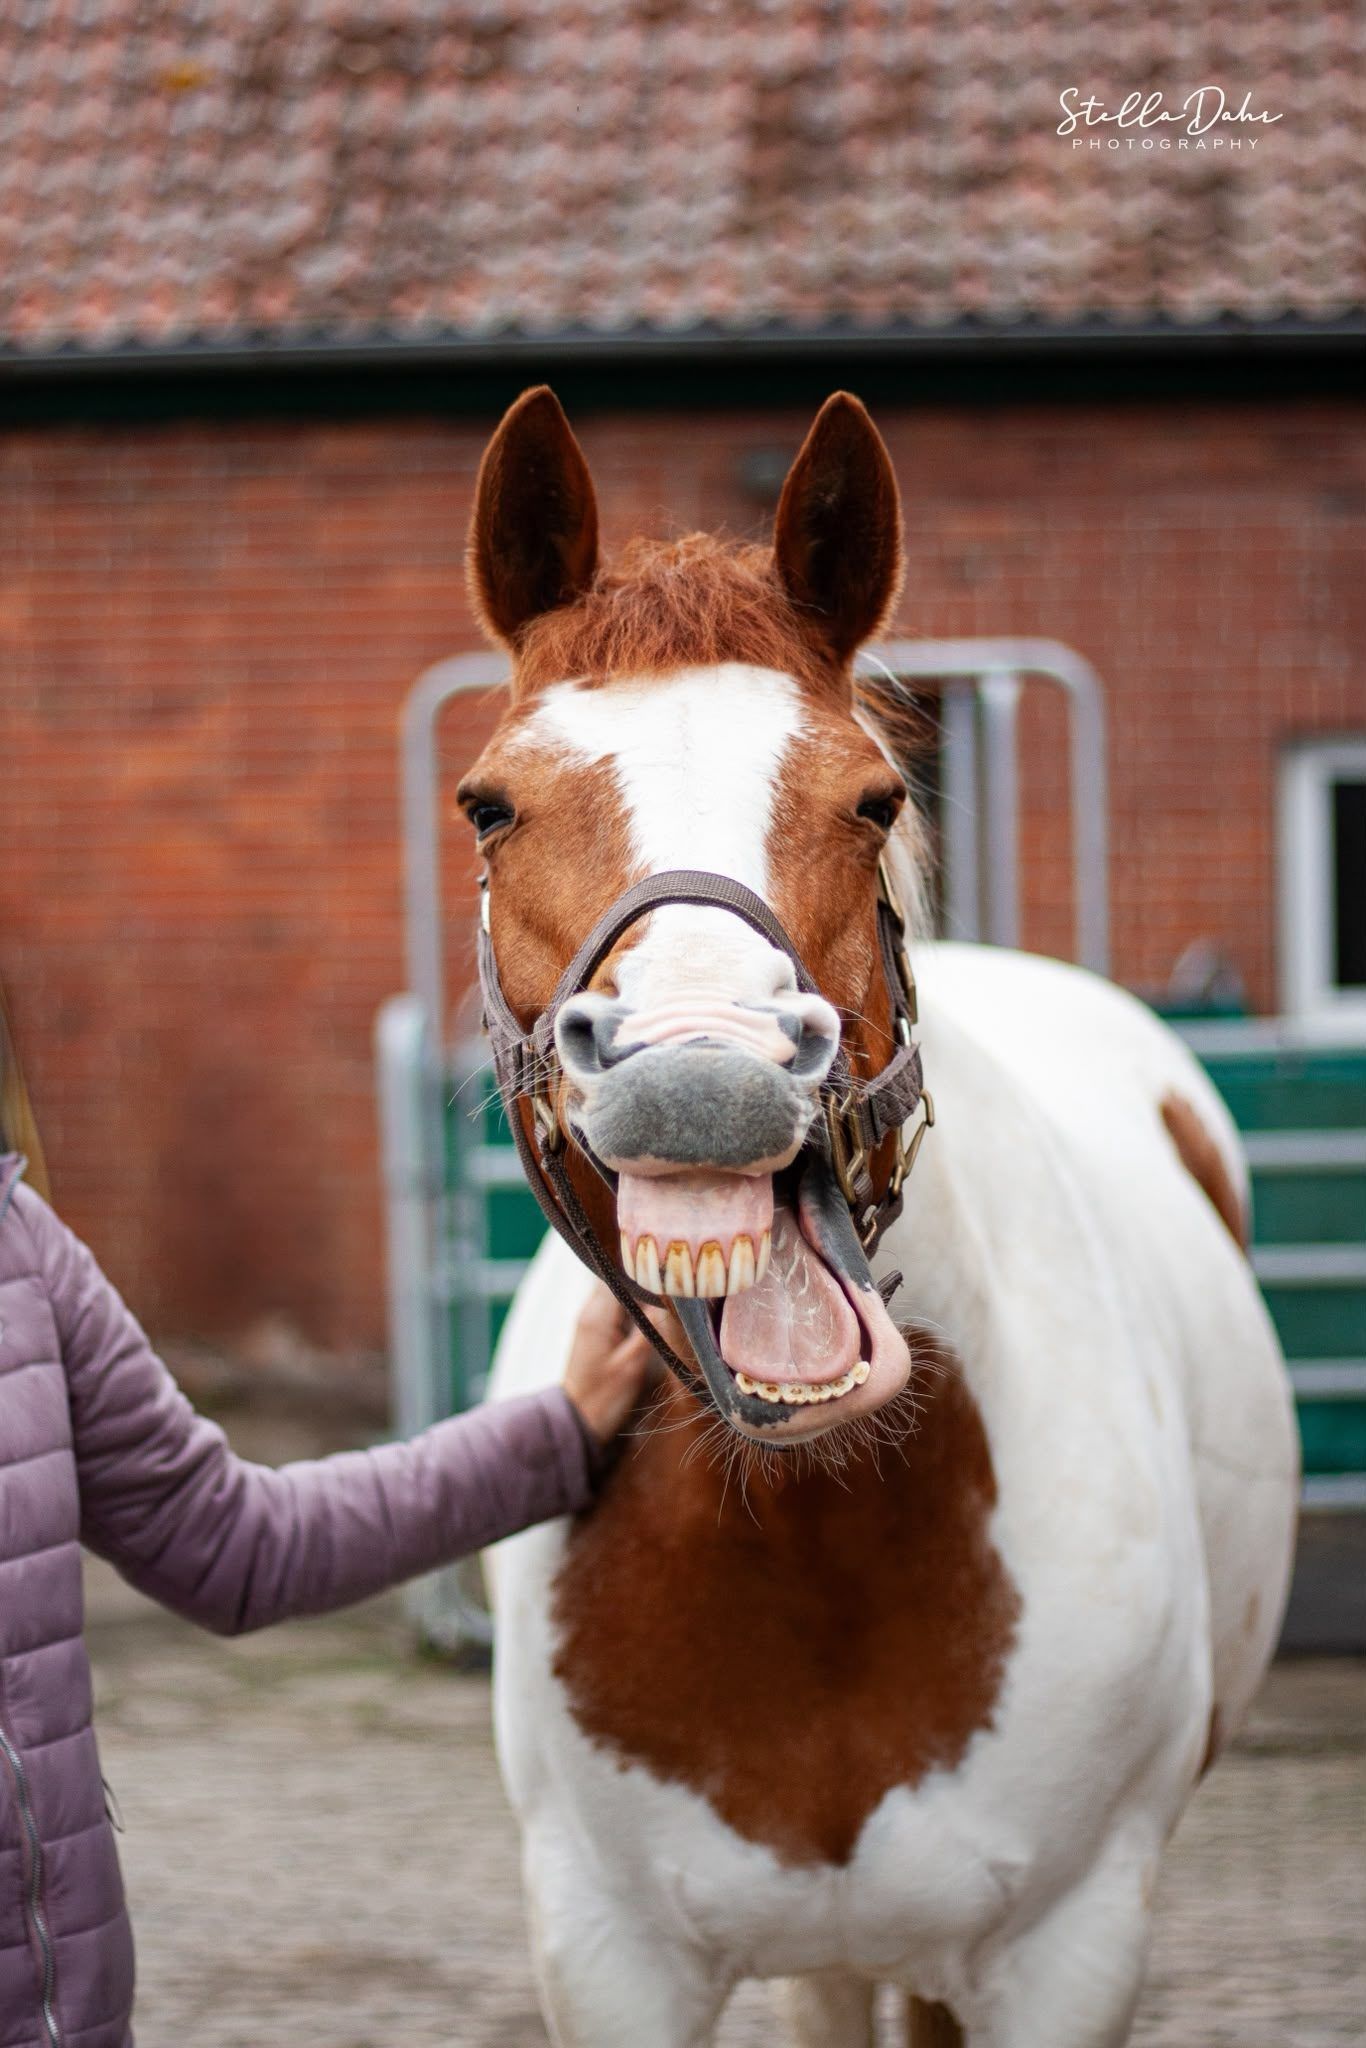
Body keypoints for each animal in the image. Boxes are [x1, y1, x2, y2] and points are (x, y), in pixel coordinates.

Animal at [461, 386, 1298, 2047]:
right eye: (490, 804)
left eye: (872, 798)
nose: (700, 1074)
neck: (818, 1537)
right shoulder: (606, 1953)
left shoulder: (1069, 1952)